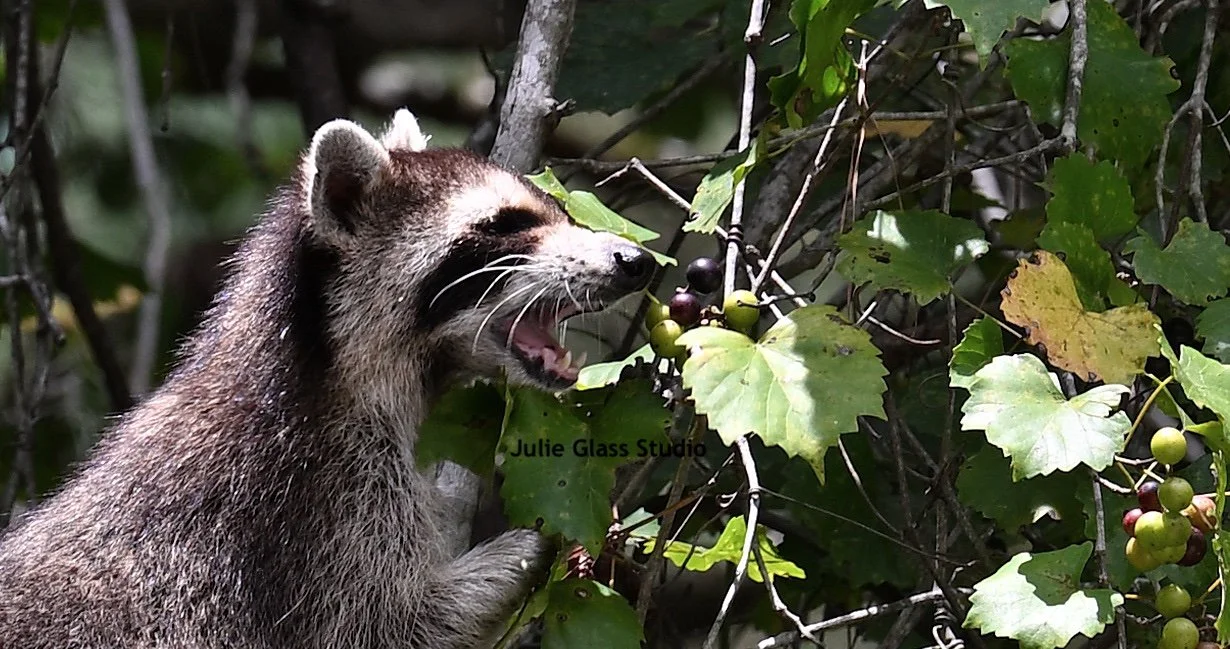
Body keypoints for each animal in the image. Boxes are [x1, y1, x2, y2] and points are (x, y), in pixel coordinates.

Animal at [0, 110, 654, 648]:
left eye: (561, 209)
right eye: (503, 224)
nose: (636, 260)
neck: (330, 360)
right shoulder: (317, 498)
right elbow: (391, 623)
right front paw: (531, 543)